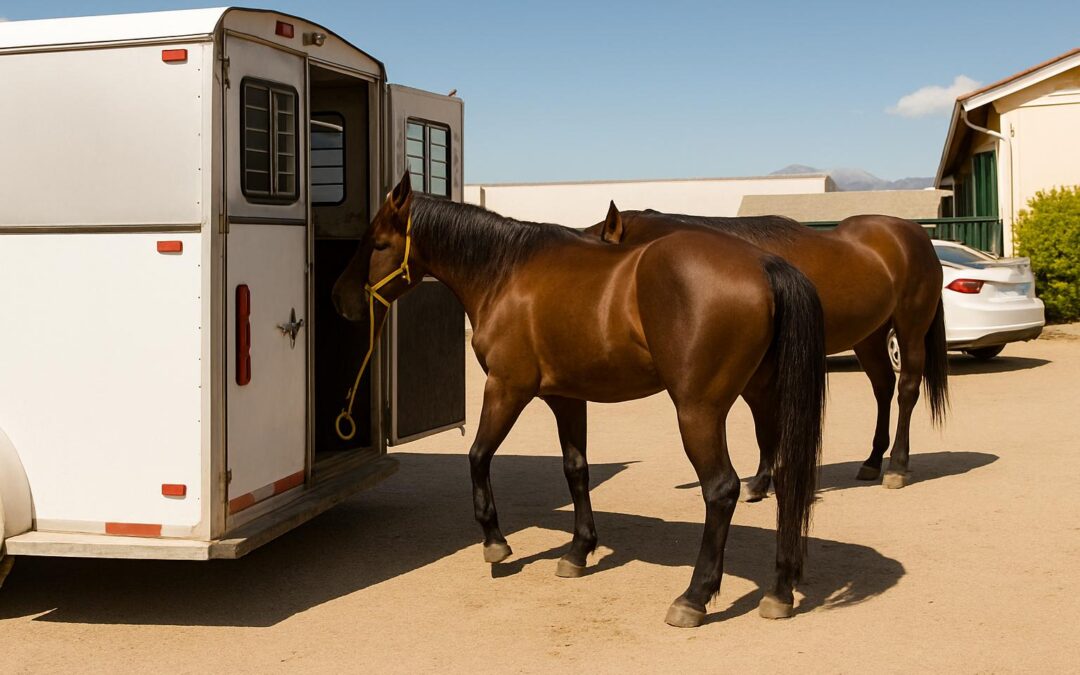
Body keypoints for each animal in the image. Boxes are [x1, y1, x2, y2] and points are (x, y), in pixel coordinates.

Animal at [332, 174, 827, 627]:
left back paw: (694, 597)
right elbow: (576, 470)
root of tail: (764, 264)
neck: (507, 272)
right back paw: (780, 591)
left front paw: (495, 543)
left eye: (379, 243)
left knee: (721, 490)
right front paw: (578, 551)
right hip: (763, 398)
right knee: (787, 478)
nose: (342, 302)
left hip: (698, 411)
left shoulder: (507, 387)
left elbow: (477, 456)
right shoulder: (565, 397)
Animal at [586, 206, 948, 498]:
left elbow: (766, 418)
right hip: (869, 337)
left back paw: (897, 466)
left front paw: (764, 480)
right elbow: (763, 420)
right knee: (883, 388)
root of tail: (913, 233)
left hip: (911, 328)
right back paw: (872, 461)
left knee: (906, 391)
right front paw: (763, 480)